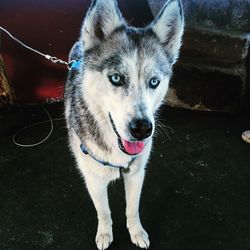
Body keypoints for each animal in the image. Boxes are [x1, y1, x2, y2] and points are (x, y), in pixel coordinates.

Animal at [65, 0, 184, 248]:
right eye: (116, 78)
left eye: (154, 82)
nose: (142, 129)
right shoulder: (94, 181)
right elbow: (103, 211)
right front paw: (105, 233)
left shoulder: (137, 174)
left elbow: (132, 209)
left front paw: (136, 232)